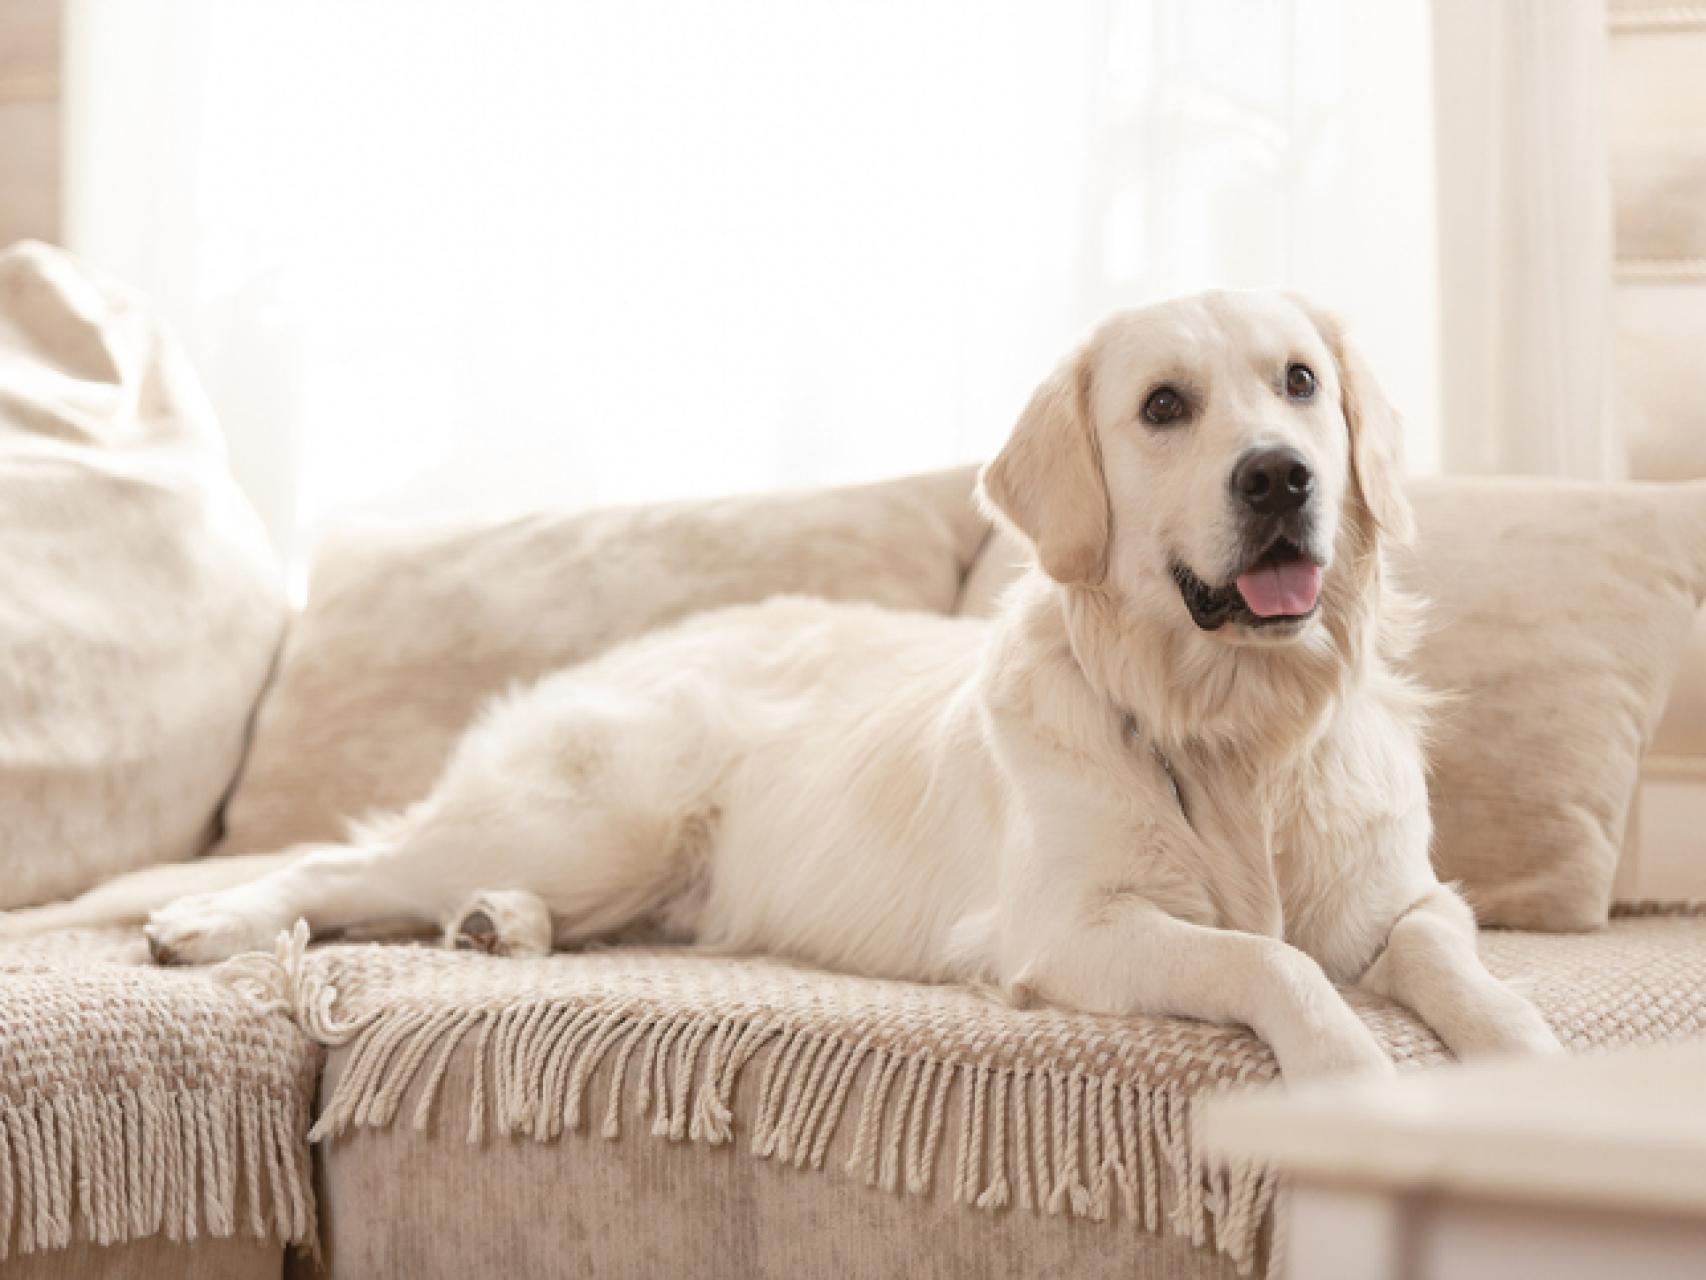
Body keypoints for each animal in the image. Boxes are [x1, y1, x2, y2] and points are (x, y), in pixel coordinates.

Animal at [13, 290, 1562, 1085]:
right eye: (1164, 407)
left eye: (1298, 383)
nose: (1280, 479)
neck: (1236, 727)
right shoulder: (1070, 930)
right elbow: (1269, 958)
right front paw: (1351, 1074)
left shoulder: (1403, 895)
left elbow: (1448, 961)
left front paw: (1528, 1060)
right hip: (598, 815)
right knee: (339, 865)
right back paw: (209, 922)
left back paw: (495, 926)